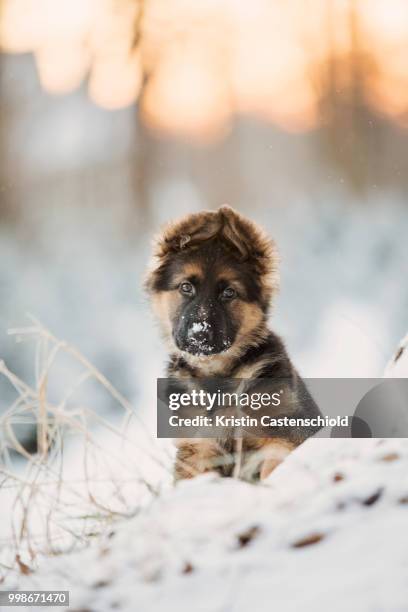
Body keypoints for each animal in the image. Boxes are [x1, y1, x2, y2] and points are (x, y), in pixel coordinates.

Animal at [145, 207, 320, 482]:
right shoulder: (199, 448)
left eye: (228, 293)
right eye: (186, 287)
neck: (217, 378)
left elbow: (273, 462)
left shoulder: (285, 431)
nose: (199, 335)